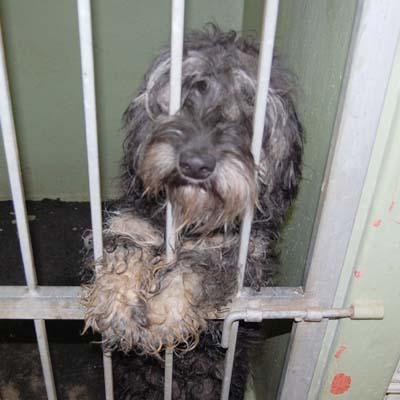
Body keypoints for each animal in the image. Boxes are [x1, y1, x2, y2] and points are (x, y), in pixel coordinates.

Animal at [82, 25, 303, 399]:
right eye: (185, 95)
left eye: (250, 107)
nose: (196, 163)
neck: (191, 220)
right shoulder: (135, 224)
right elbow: (124, 249)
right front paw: (117, 302)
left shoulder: (242, 259)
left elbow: (199, 270)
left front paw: (160, 315)